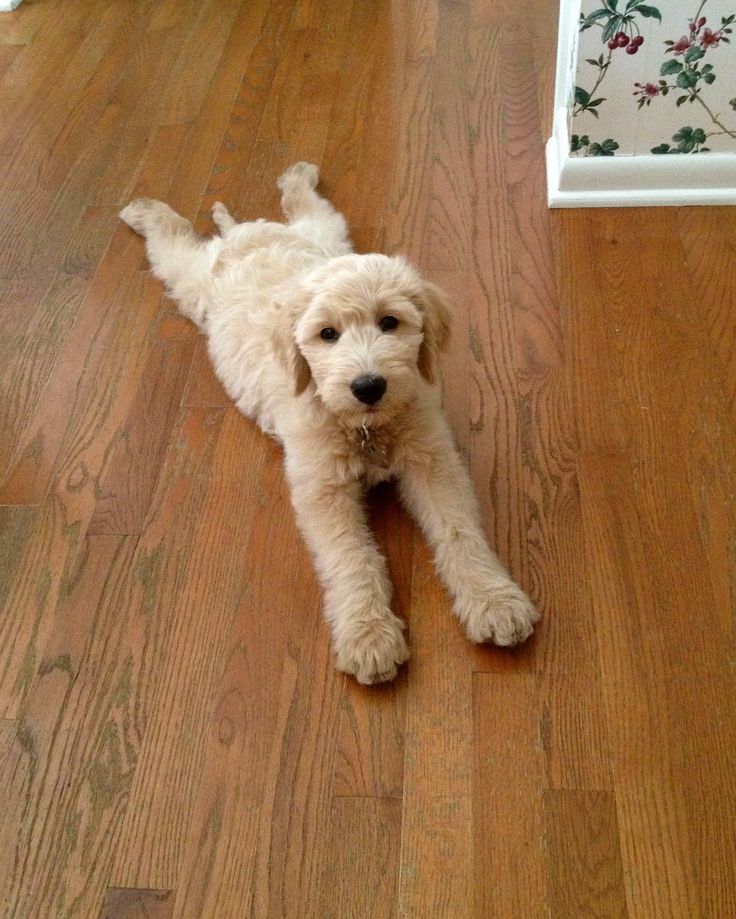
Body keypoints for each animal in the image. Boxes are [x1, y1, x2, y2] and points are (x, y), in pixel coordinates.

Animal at [118, 164, 536, 684]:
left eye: (389, 322)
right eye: (327, 334)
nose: (368, 386)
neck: (364, 427)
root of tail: (244, 232)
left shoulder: (434, 461)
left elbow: (460, 531)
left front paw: (493, 599)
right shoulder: (322, 488)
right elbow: (351, 556)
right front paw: (368, 634)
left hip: (326, 235)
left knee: (306, 206)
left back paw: (297, 175)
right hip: (193, 280)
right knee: (173, 240)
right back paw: (145, 211)